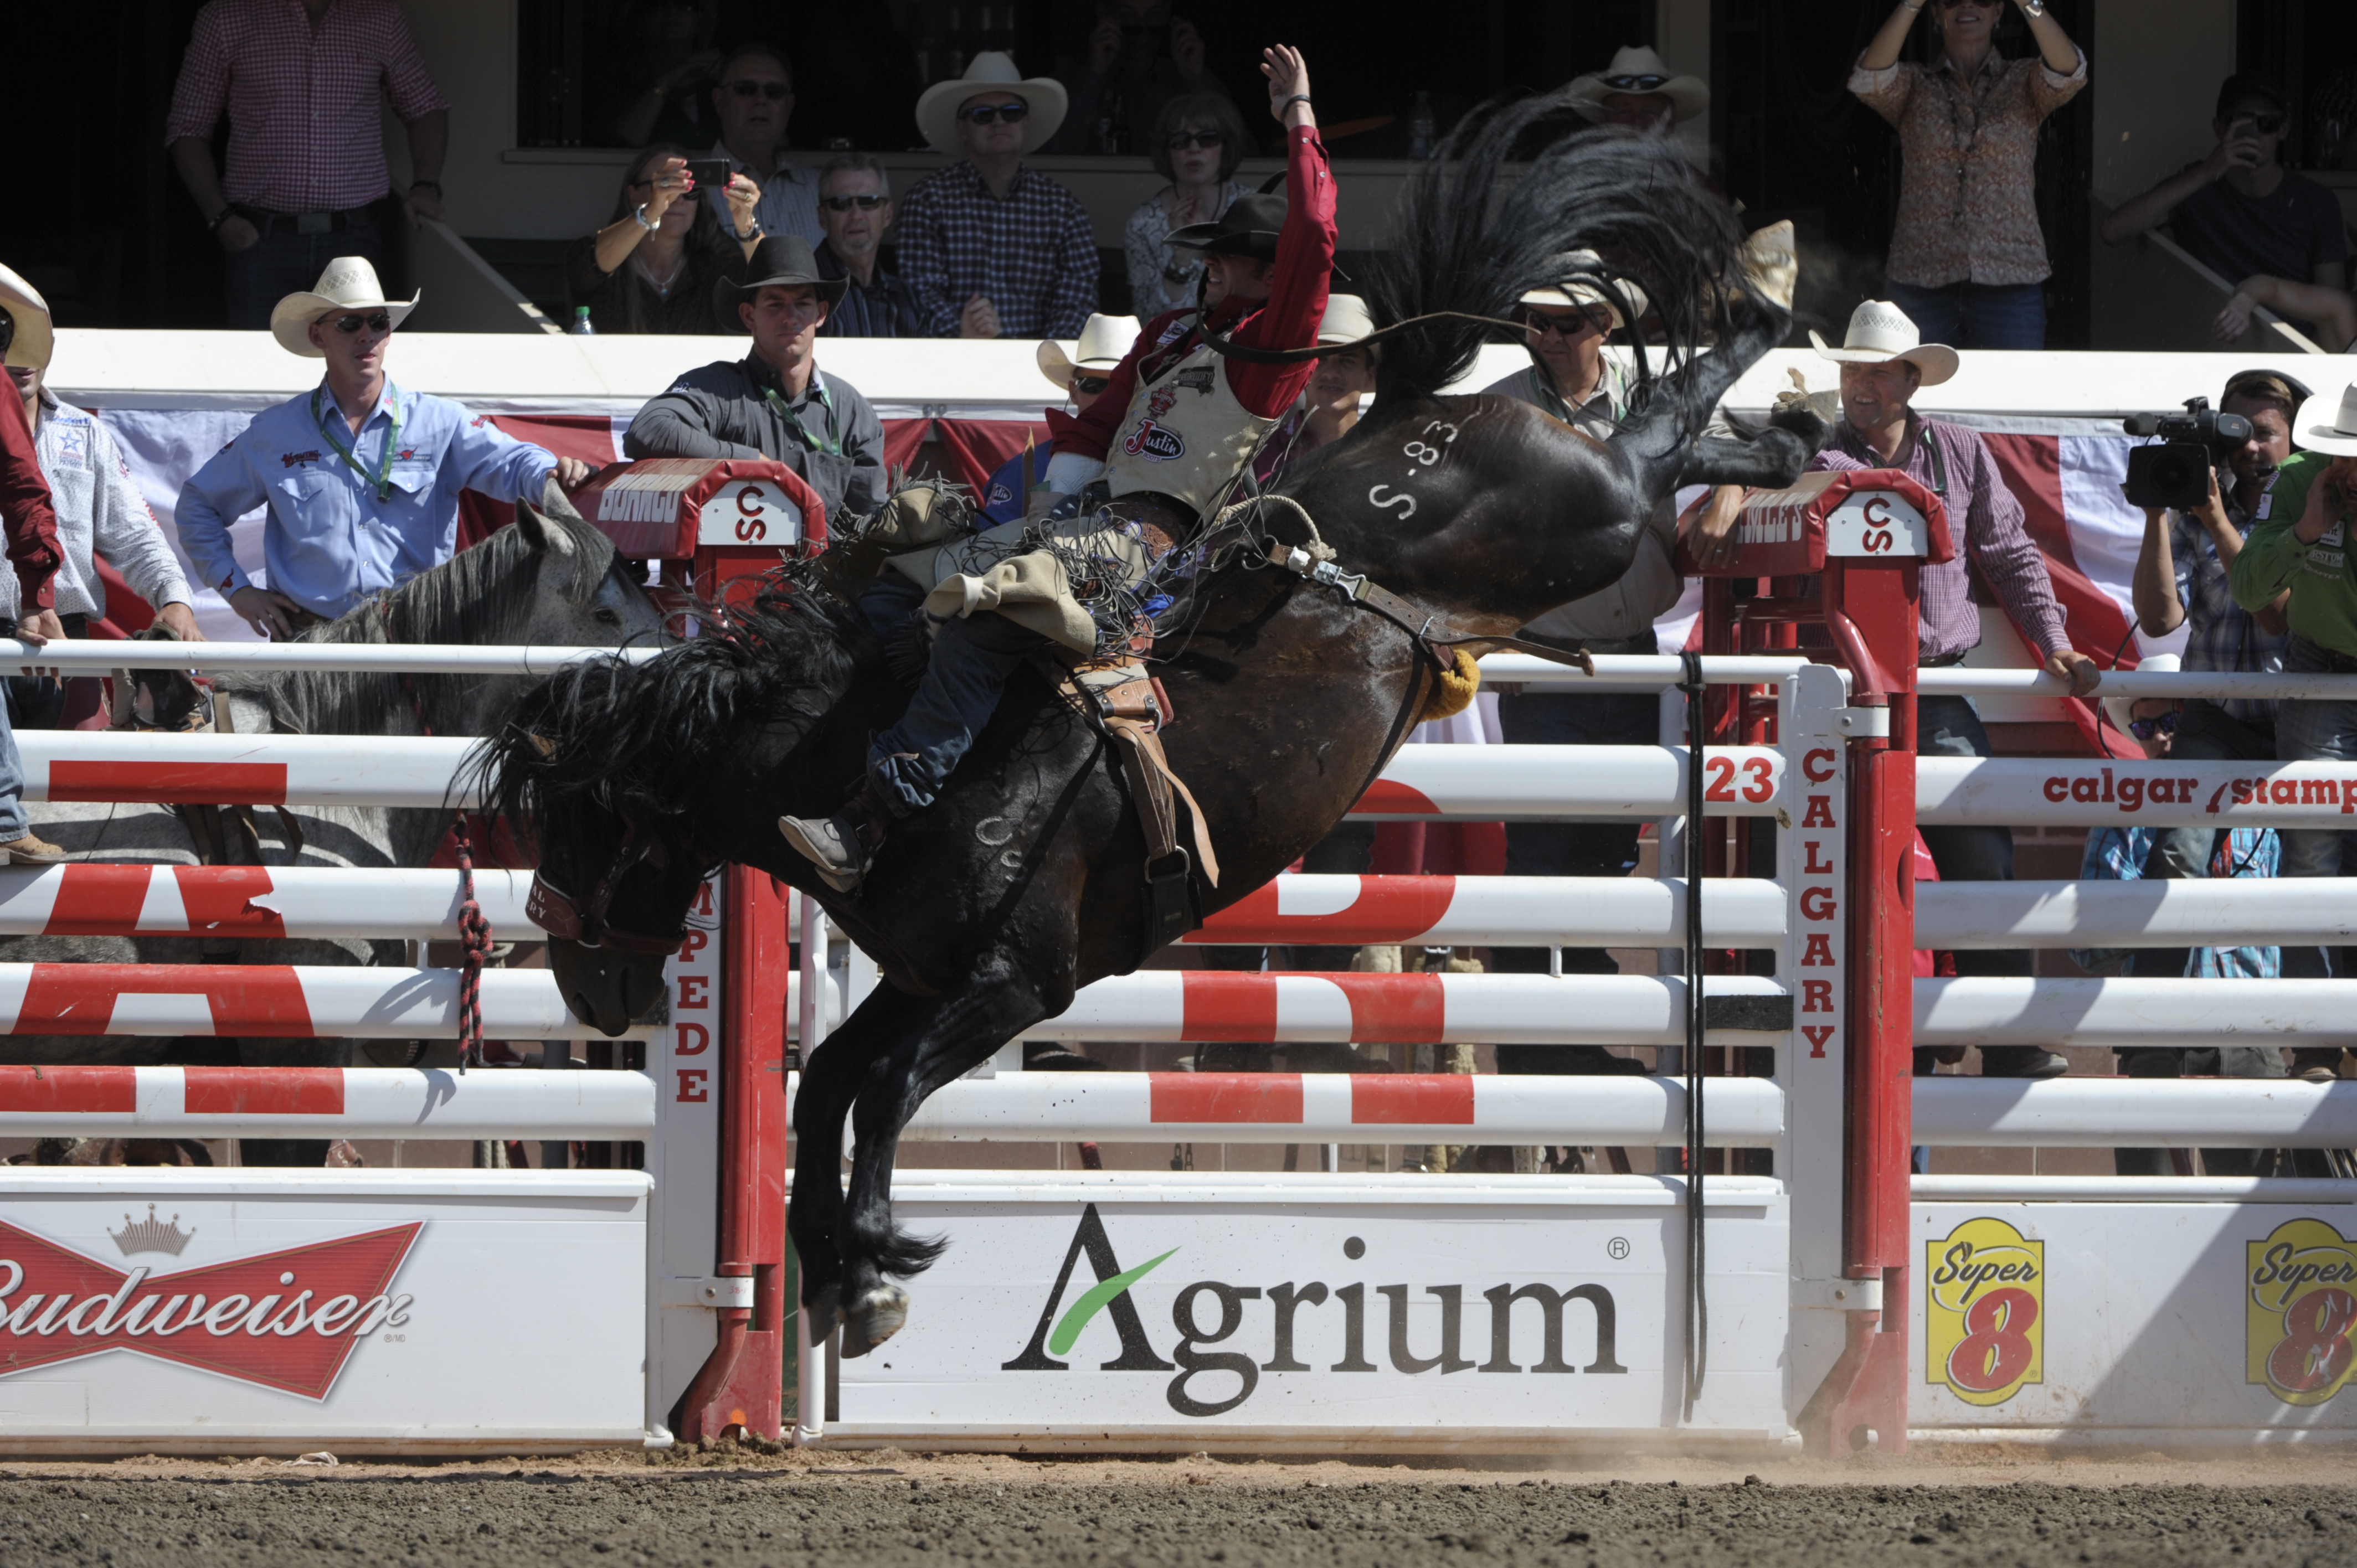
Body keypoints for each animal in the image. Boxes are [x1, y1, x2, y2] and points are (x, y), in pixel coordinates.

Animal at [478, 97, 1829, 1348]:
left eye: (588, 827)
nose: (588, 991)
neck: (874, 760)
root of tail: (1426, 420)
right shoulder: (923, 975)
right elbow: (830, 1087)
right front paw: (836, 1270)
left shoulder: (1018, 985)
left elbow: (885, 1089)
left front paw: (871, 1263)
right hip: (1592, 515)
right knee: (1665, 435)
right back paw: (1784, 430)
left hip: (1591, 512)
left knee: (1653, 437)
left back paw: (1769, 308)